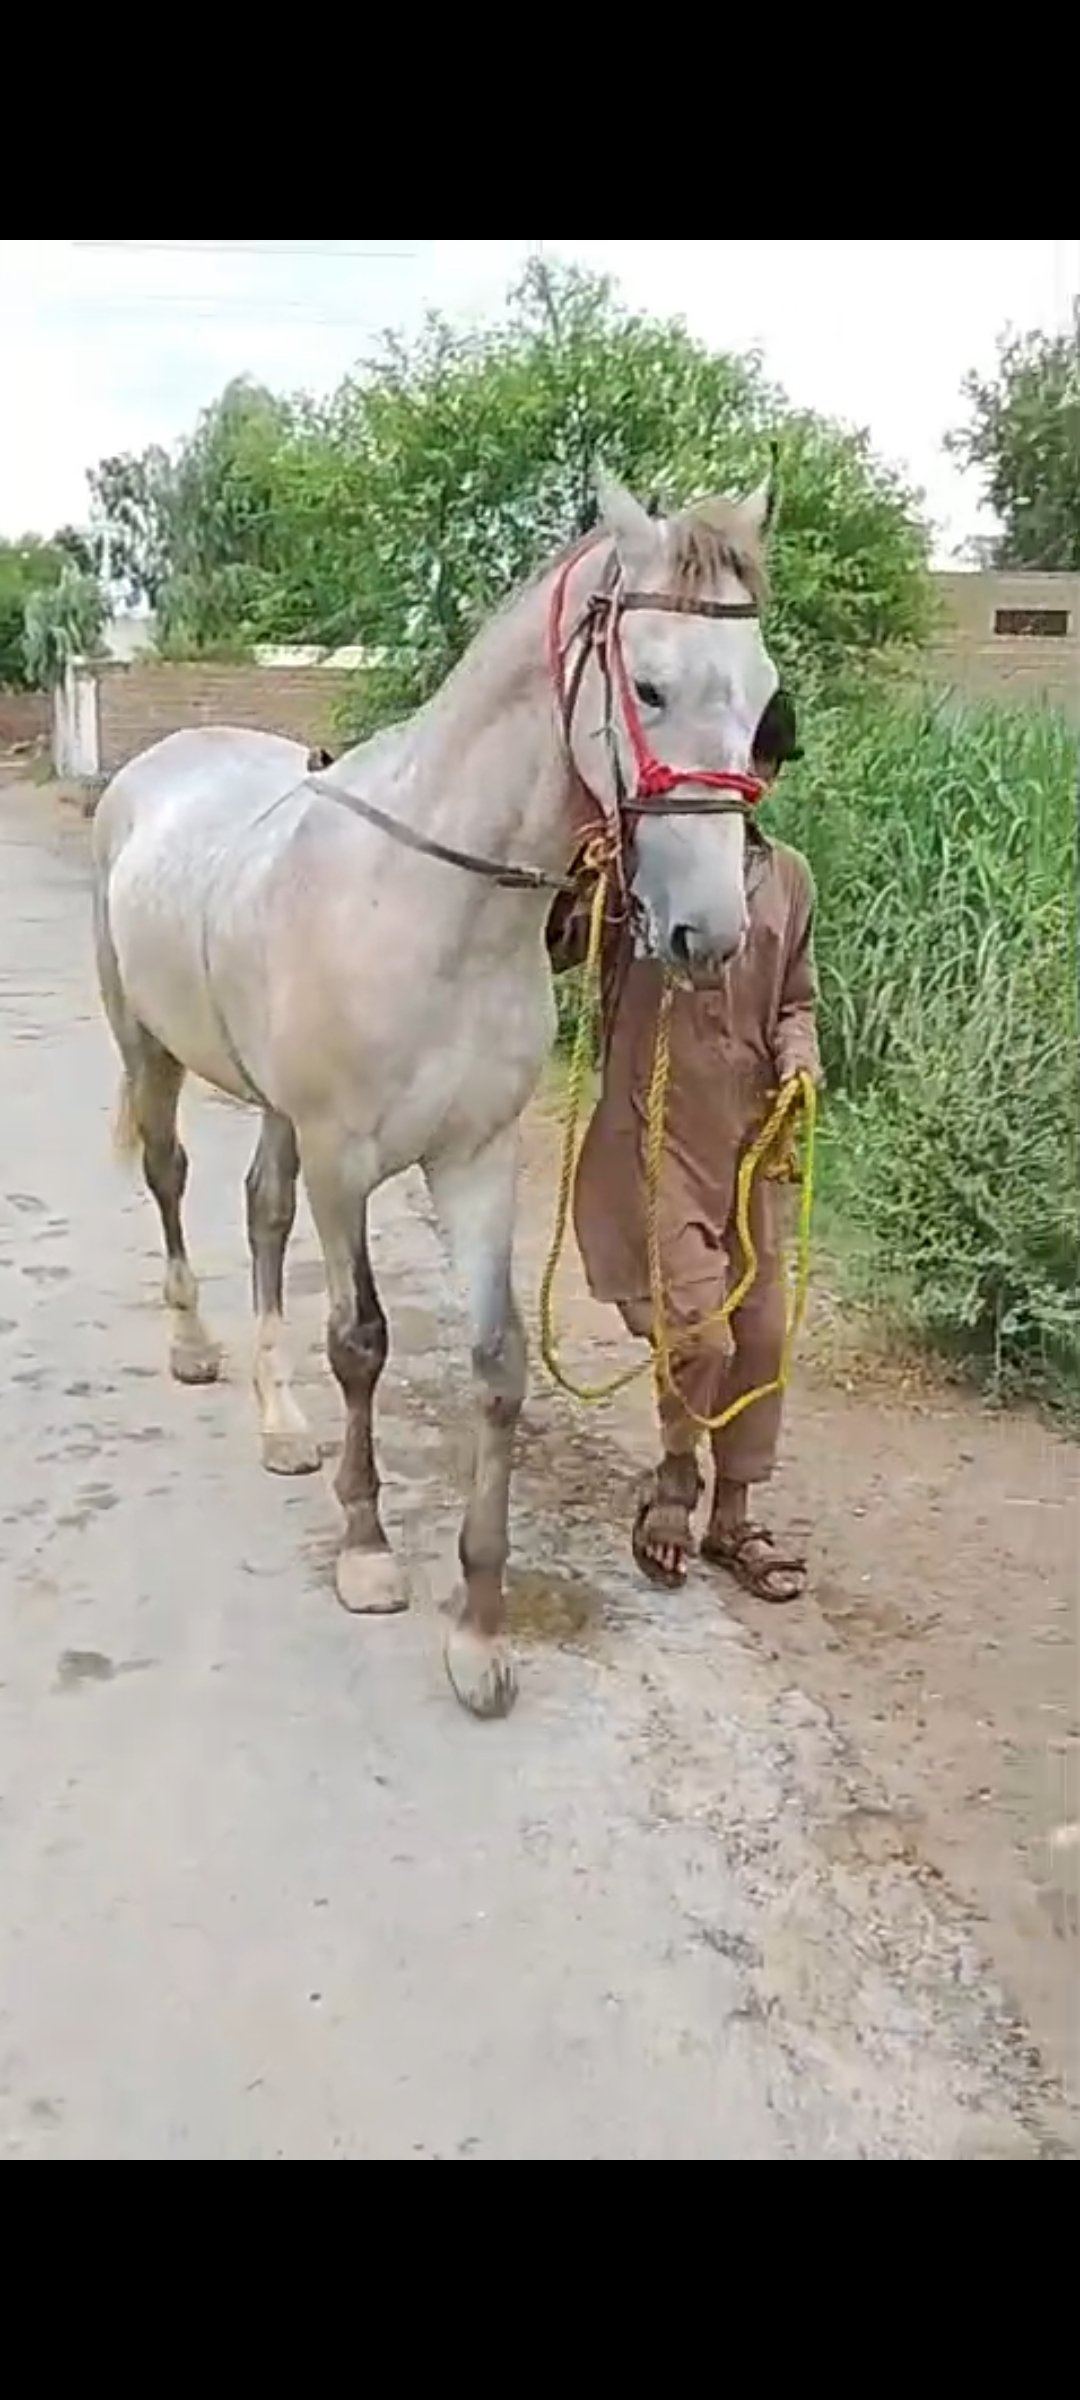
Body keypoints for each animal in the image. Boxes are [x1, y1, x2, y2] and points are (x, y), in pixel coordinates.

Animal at [91, 470, 780, 1719]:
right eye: (650, 684)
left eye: (761, 699)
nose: (709, 932)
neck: (430, 900)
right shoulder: (346, 1159)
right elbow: (360, 1341)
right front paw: (367, 1551)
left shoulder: (476, 1160)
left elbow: (498, 1368)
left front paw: (480, 1627)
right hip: (151, 1050)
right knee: (172, 1179)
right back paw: (197, 1346)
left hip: (279, 1117)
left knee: (262, 1212)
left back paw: (279, 1422)